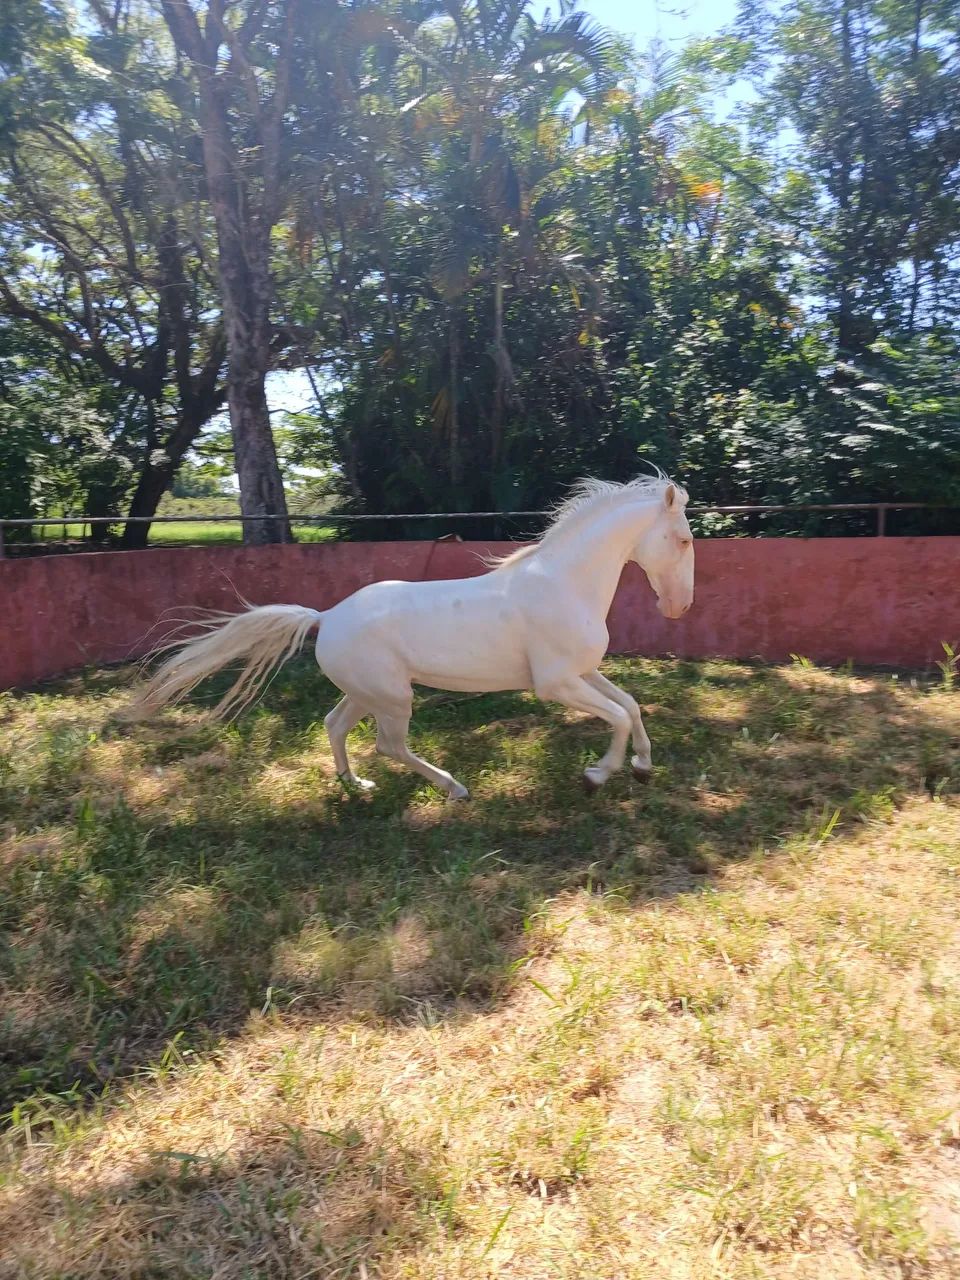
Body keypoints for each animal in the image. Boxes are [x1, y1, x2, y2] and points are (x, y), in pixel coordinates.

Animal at [131, 472, 694, 799]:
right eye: (685, 539)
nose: (679, 607)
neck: (562, 583)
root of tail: (325, 616)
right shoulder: (556, 684)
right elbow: (617, 715)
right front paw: (599, 774)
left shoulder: (583, 671)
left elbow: (631, 705)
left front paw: (643, 766)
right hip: (393, 697)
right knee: (389, 745)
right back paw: (454, 787)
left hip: (366, 693)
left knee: (335, 726)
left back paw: (355, 784)